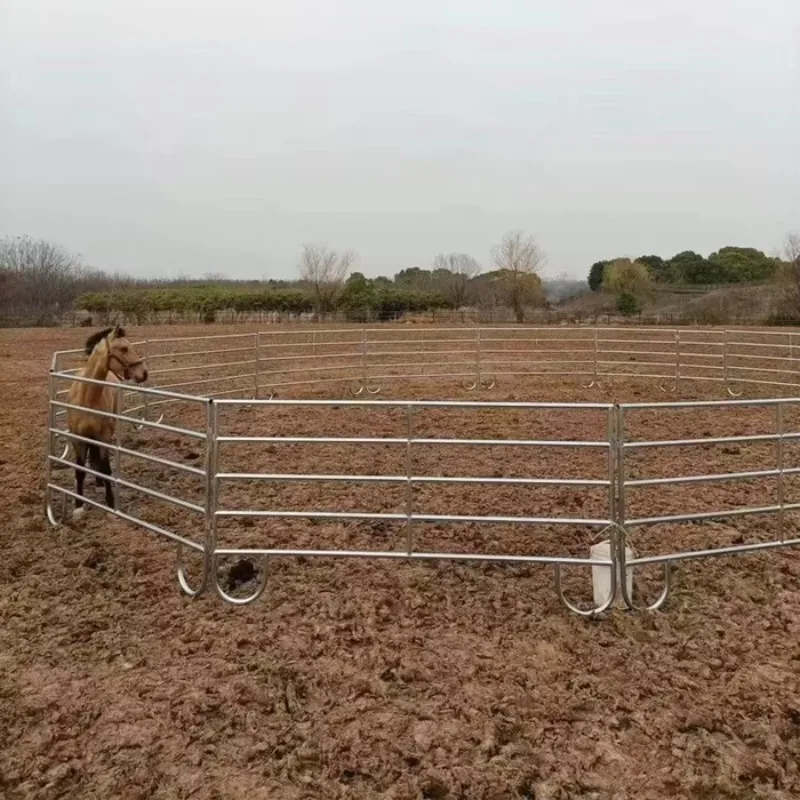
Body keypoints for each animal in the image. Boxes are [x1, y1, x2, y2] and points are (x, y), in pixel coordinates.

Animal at [66, 325, 148, 519]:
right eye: (124, 348)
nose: (144, 373)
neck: (88, 398)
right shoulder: (78, 439)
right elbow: (79, 471)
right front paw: (78, 505)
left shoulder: (104, 437)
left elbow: (106, 468)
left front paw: (110, 504)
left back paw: (99, 483)